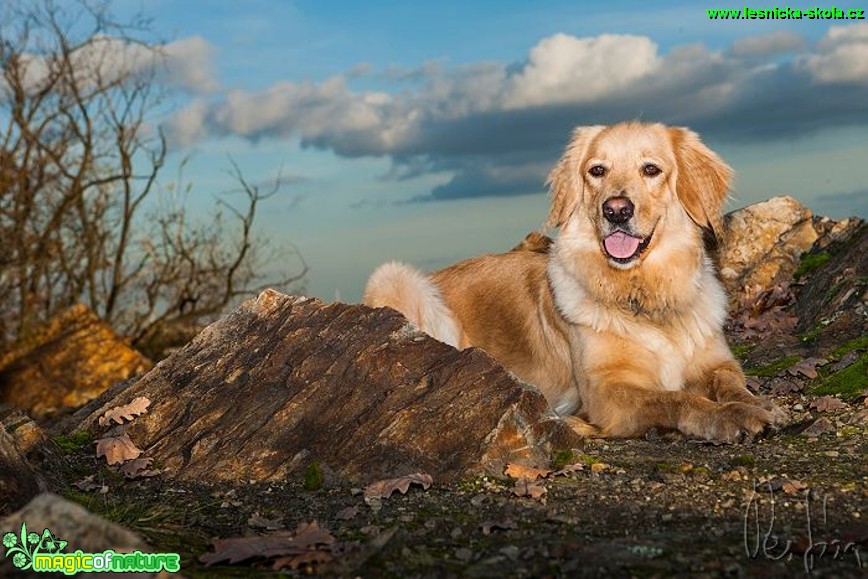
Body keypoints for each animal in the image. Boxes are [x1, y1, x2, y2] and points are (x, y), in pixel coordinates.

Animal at [364, 121, 788, 440]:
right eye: (597, 170)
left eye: (651, 169)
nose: (616, 210)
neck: (642, 292)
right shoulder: (607, 392)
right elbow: (676, 399)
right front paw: (729, 416)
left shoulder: (716, 362)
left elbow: (730, 382)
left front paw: (757, 404)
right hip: (396, 278)